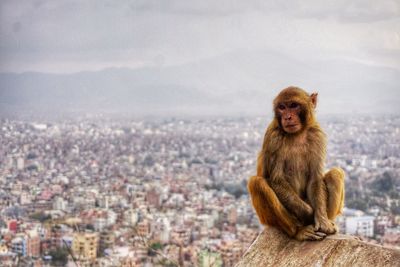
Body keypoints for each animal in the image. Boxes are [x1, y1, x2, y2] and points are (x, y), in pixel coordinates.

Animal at [247, 87, 344, 242]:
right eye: (282, 107)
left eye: (293, 105)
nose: (287, 117)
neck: (298, 133)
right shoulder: (273, 136)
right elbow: (277, 180)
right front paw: (309, 214)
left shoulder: (317, 135)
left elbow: (315, 178)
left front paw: (322, 221)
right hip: (269, 219)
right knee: (257, 183)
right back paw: (299, 230)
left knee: (335, 174)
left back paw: (328, 220)